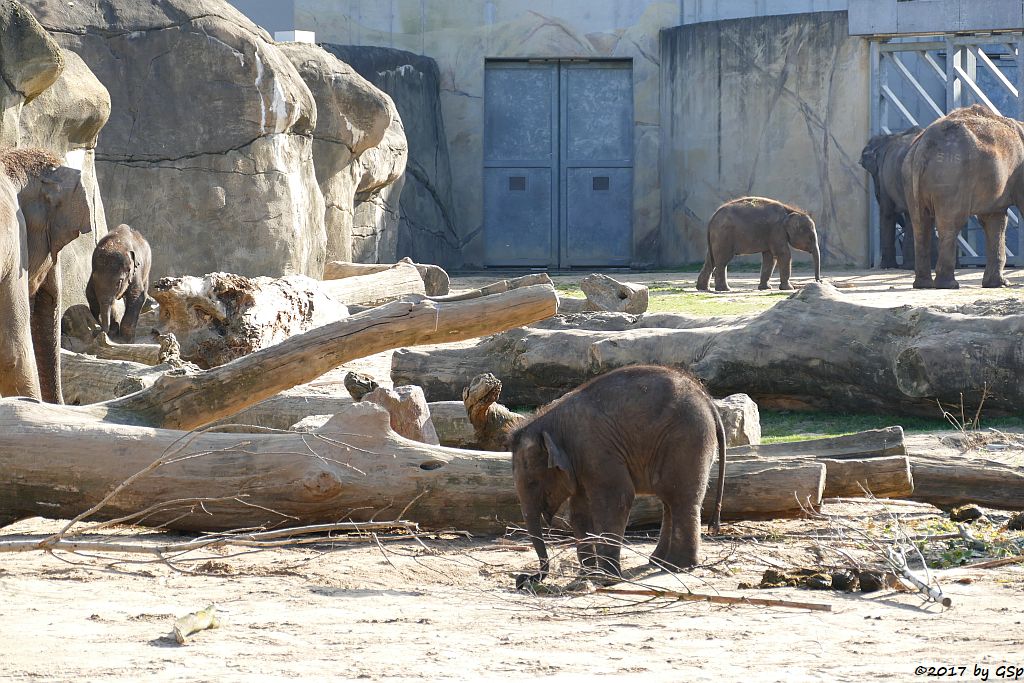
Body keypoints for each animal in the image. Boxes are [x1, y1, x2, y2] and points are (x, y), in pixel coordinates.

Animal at [512, 366, 729, 585]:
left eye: (532, 482)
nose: (523, 579)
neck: (551, 421)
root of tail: (708, 401)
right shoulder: (582, 462)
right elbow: (579, 511)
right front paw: (588, 576)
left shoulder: (596, 449)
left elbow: (617, 499)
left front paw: (608, 579)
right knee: (669, 498)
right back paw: (659, 562)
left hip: (687, 439)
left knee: (680, 497)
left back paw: (678, 566)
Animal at [905, 104, 1024, 288]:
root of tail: (924, 143)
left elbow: (994, 219)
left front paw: (997, 284)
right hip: (950, 175)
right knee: (950, 224)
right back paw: (948, 285)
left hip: (910, 176)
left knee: (920, 224)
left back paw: (923, 285)